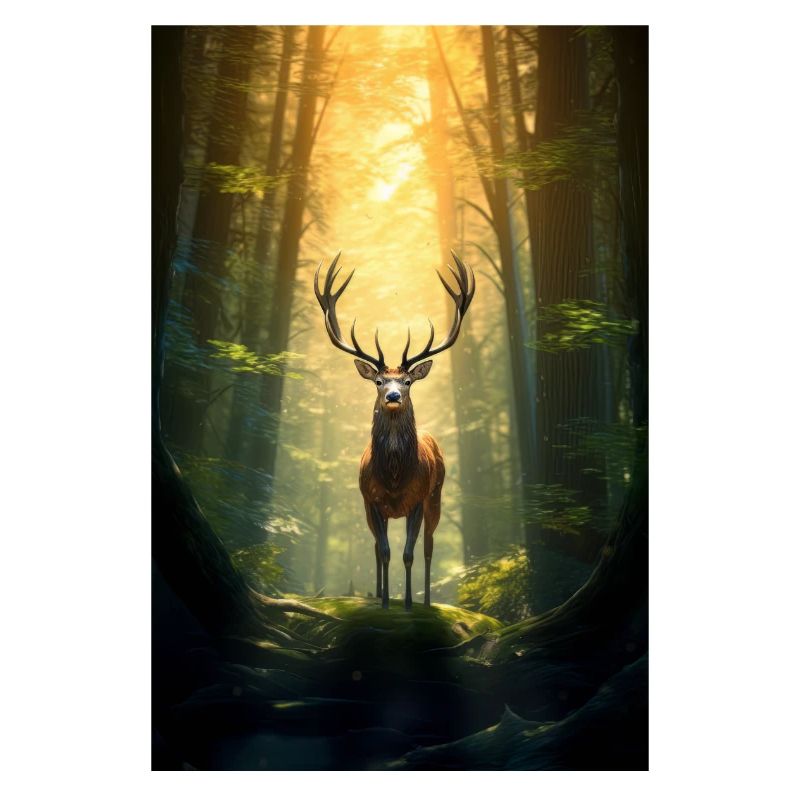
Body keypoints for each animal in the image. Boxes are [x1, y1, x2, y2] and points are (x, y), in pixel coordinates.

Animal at [314, 251, 475, 610]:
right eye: (378, 380)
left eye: (407, 381)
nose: (392, 396)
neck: (394, 478)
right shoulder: (371, 501)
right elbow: (385, 551)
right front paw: (386, 601)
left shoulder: (417, 499)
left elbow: (408, 553)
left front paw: (409, 602)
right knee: (377, 547)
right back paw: (378, 592)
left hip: (437, 495)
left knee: (429, 546)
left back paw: (427, 600)